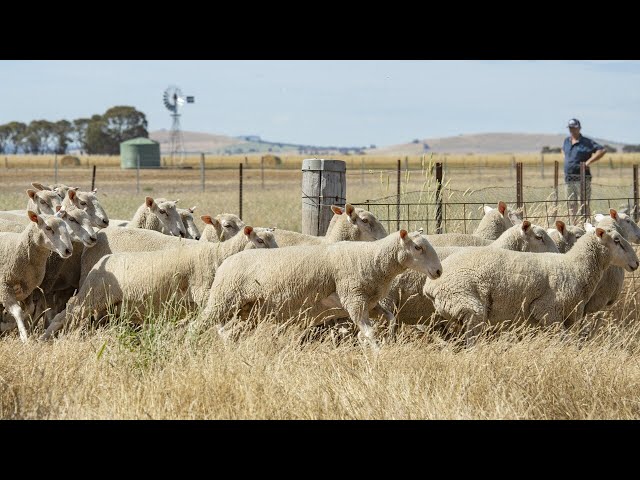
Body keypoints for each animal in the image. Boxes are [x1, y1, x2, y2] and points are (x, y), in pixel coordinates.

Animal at [0, 210, 73, 342]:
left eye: (66, 227)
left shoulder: (28, 289)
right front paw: (24, 337)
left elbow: (30, 309)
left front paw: (9, 326)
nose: (68, 250)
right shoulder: (4, 287)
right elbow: (18, 311)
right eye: (48, 228)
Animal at [42, 226, 278, 342]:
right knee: (66, 313)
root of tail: (101, 261)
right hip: (92, 295)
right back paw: (45, 338)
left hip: (104, 303)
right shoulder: (205, 294)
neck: (217, 255)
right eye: (259, 240)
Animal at [198, 230, 442, 348]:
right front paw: (376, 352)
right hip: (223, 301)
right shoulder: (354, 300)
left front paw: (383, 339)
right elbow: (370, 332)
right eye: (418, 247)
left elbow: (390, 319)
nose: (439, 271)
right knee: (199, 324)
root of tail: (226, 261)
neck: (372, 258)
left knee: (231, 333)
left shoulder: (369, 304)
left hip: (249, 312)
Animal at [422, 227, 636, 346]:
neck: (574, 266)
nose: (636, 263)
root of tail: (430, 284)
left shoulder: (566, 318)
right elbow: (563, 342)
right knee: (471, 340)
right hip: (468, 305)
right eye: (617, 241)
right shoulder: (547, 311)